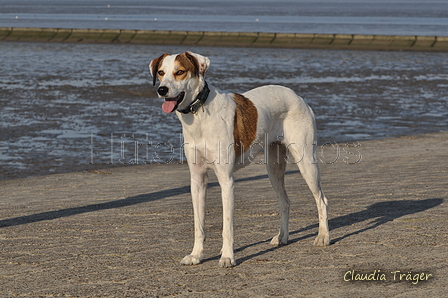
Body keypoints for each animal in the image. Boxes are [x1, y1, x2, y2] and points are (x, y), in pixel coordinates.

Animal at [150, 51, 328, 268]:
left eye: (180, 72)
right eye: (161, 72)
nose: (162, 89)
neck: (200, 115)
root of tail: (298, 96)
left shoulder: (226, 180)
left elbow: (227, 226)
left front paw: (227, 257)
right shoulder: (197, 179)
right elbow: (199, 225)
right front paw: (196, 255)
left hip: (306, 162)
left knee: (322, 200)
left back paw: (323, 237)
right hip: (274, 168)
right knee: (284, 201)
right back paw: (282, 237)